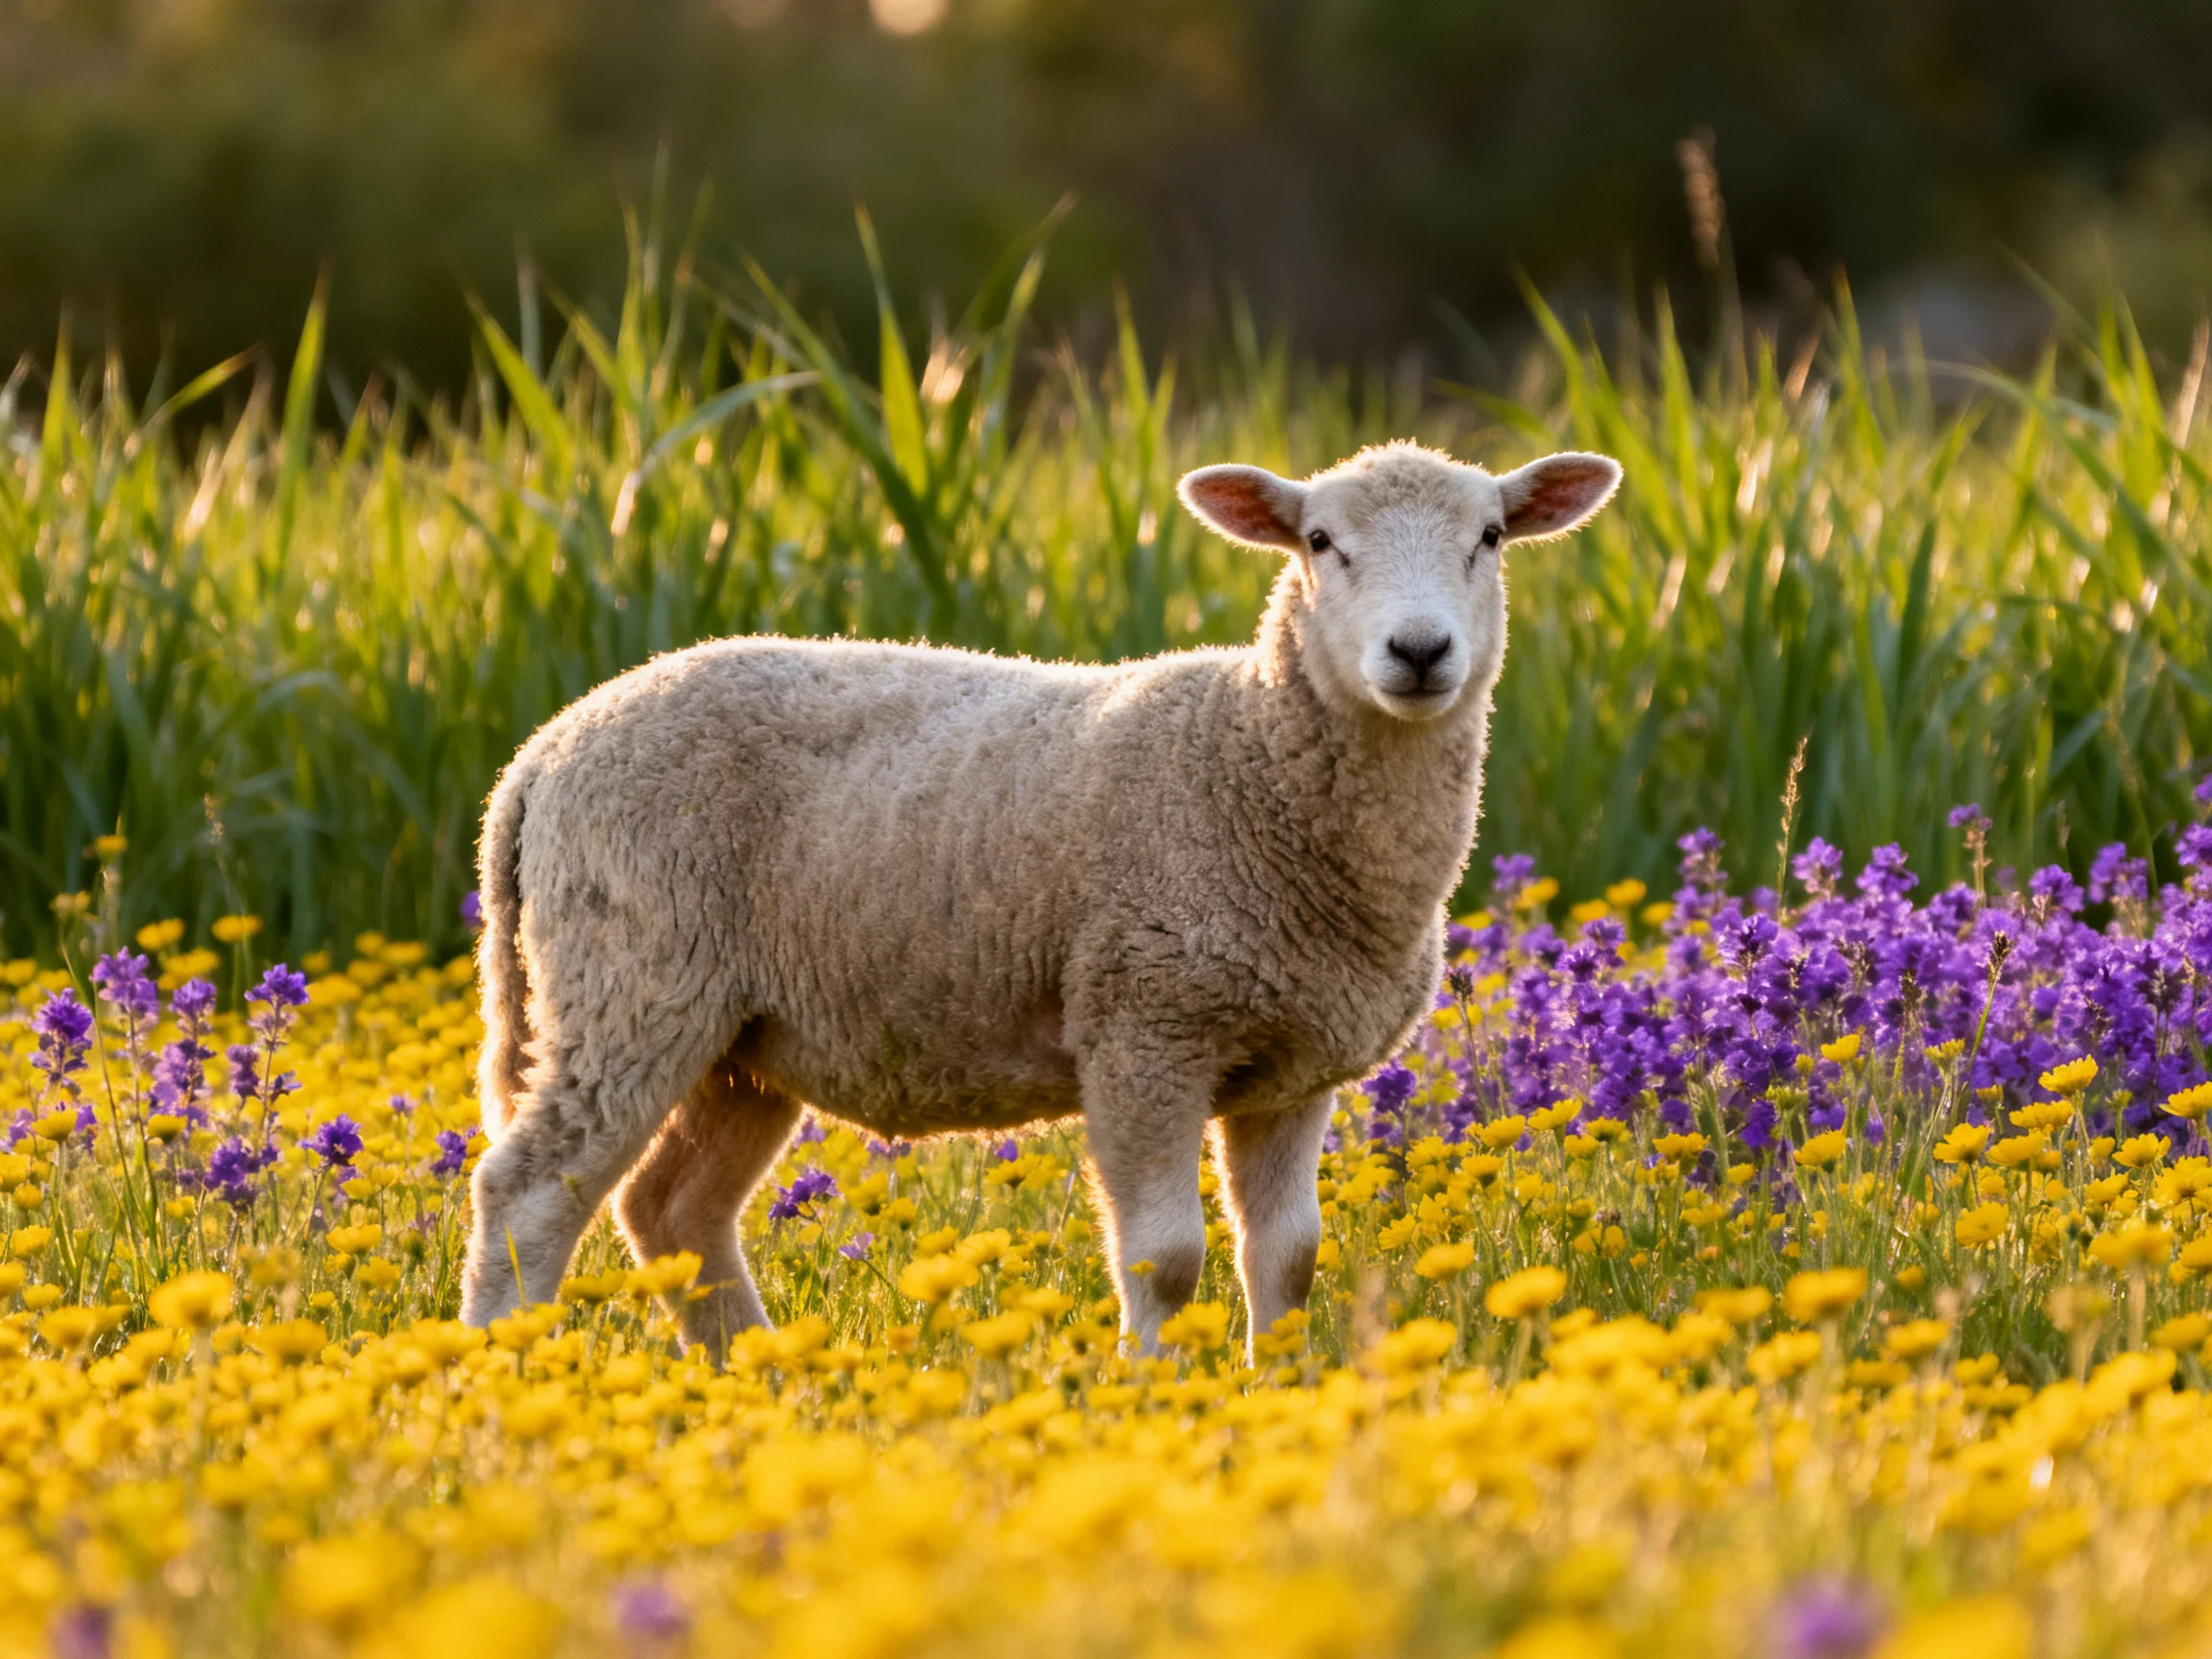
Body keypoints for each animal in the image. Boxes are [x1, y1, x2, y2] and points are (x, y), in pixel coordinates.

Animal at [458, 439, 1622, 1356]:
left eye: (1491, 538)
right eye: (1321, 542)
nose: (1419, 651)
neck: (1246, 755)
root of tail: (539, 756)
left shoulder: (1293, 1062)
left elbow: (1287, 1260)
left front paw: (1283, 1397)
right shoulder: (1143, 1027)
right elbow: (1165, 1260)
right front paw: (1160, 1397)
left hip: (740, 1037)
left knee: (673, 1212)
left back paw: (756, 1378)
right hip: (632, 980)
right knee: (528, 1197)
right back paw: (500, 1380)